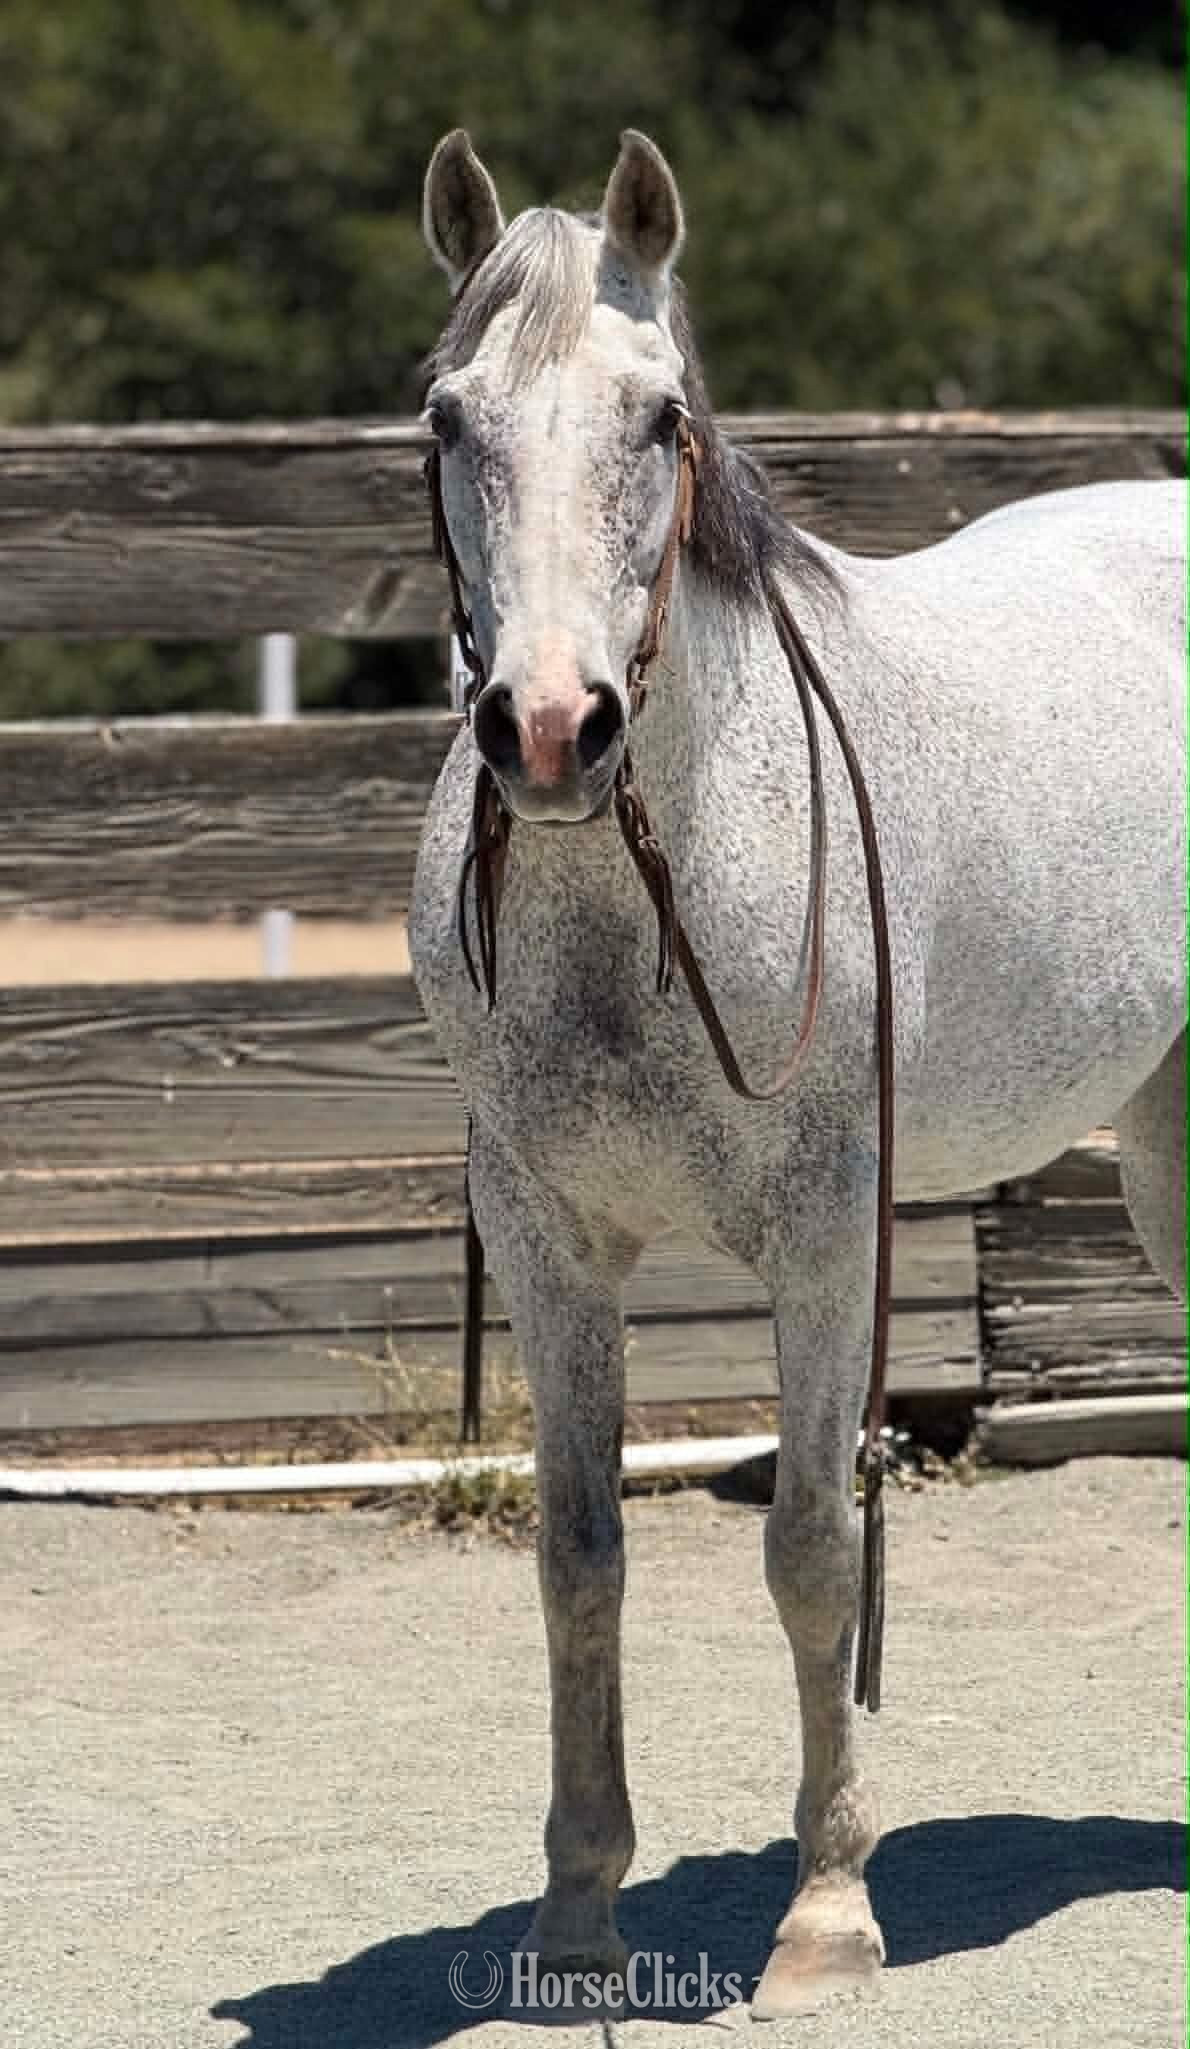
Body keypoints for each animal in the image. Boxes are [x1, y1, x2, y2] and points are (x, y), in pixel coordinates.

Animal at [409, 127, 1186, 2015]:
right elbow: (580, 1555)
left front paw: (828, 1912)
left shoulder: (832, 1235)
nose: (552, 731)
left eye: (659, 419)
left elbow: (814, 1546)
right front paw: (578, 1913)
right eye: (450, 420)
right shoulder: (544, 1236)